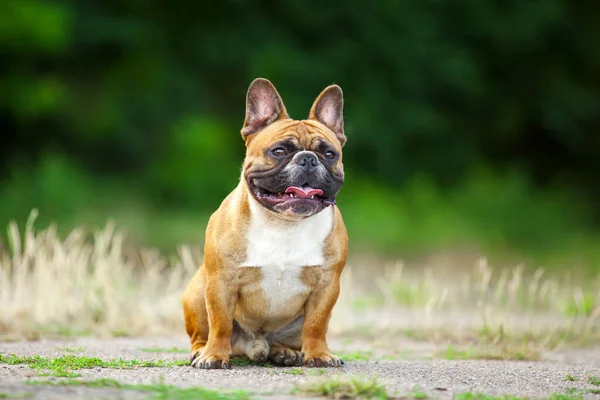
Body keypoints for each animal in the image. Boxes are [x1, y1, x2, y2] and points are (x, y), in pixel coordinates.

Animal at [183, 77, 350, 368]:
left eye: (330, 154)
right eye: (279, 151)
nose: (308, 158)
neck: (284, 223)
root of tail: (254, 345)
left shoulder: (327, 286)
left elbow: (317, 325)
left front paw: (319, 354)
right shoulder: (221, 283)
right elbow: (220, 323)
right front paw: (214, 355)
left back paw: (285, 352)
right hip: (196, 292)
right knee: (203, 332)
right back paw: (201, 351)